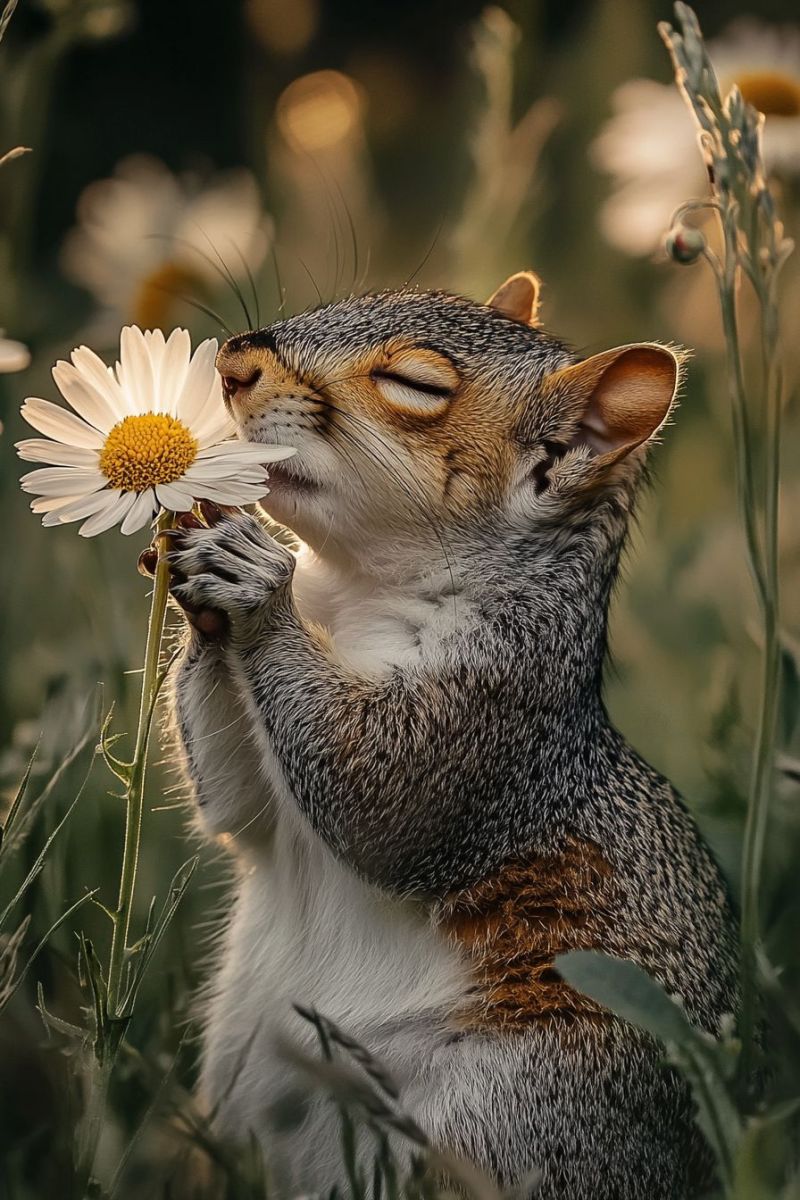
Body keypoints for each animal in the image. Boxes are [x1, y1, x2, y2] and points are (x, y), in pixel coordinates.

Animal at [160, 274, 738, 1200]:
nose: (234, 363)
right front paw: (202, 553)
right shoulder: (265, 810)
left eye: (417, 384)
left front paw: (255, 585)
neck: (353, 595)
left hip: (519, 1111)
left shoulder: (491, 709)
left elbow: (376, 798)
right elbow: (237, 805)